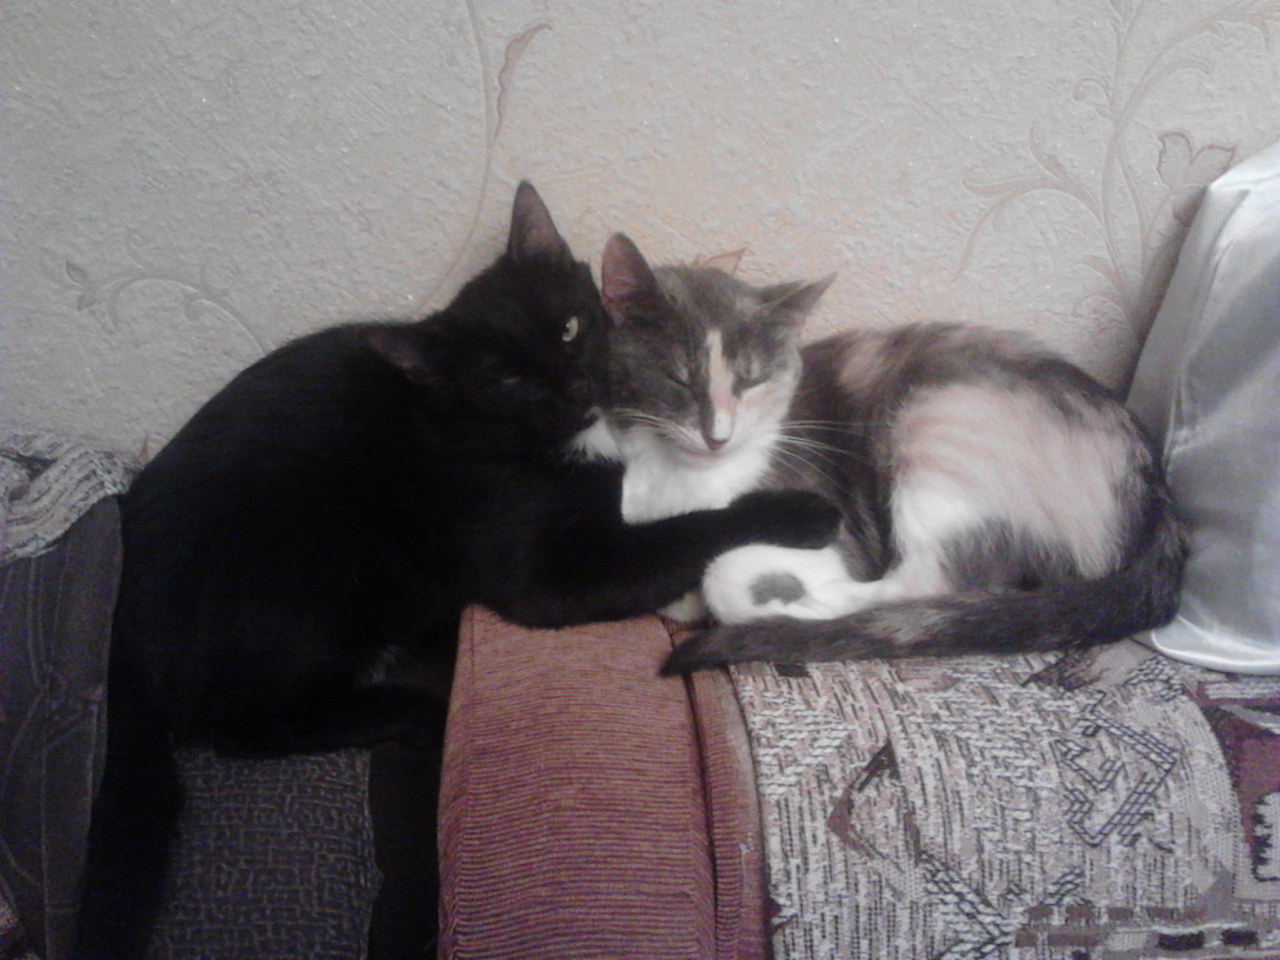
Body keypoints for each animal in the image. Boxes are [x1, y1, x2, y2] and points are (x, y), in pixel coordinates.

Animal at [74, 185, 838, 959]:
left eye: (569, 326)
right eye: (507, 379)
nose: (577, 383)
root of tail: (120, 621)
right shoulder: (545, 576)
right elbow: (684, 532)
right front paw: (802, 511)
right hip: (303, 577)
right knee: (242, 723)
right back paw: (408, 708)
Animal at [584, 233, 1186, 675]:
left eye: (750, 381)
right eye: (678, 379)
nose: (718, 435)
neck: (673, 478)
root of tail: (1161, 511)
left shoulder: (831, 531)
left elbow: (720, 572)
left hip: (940, 419)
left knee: (922, 589)